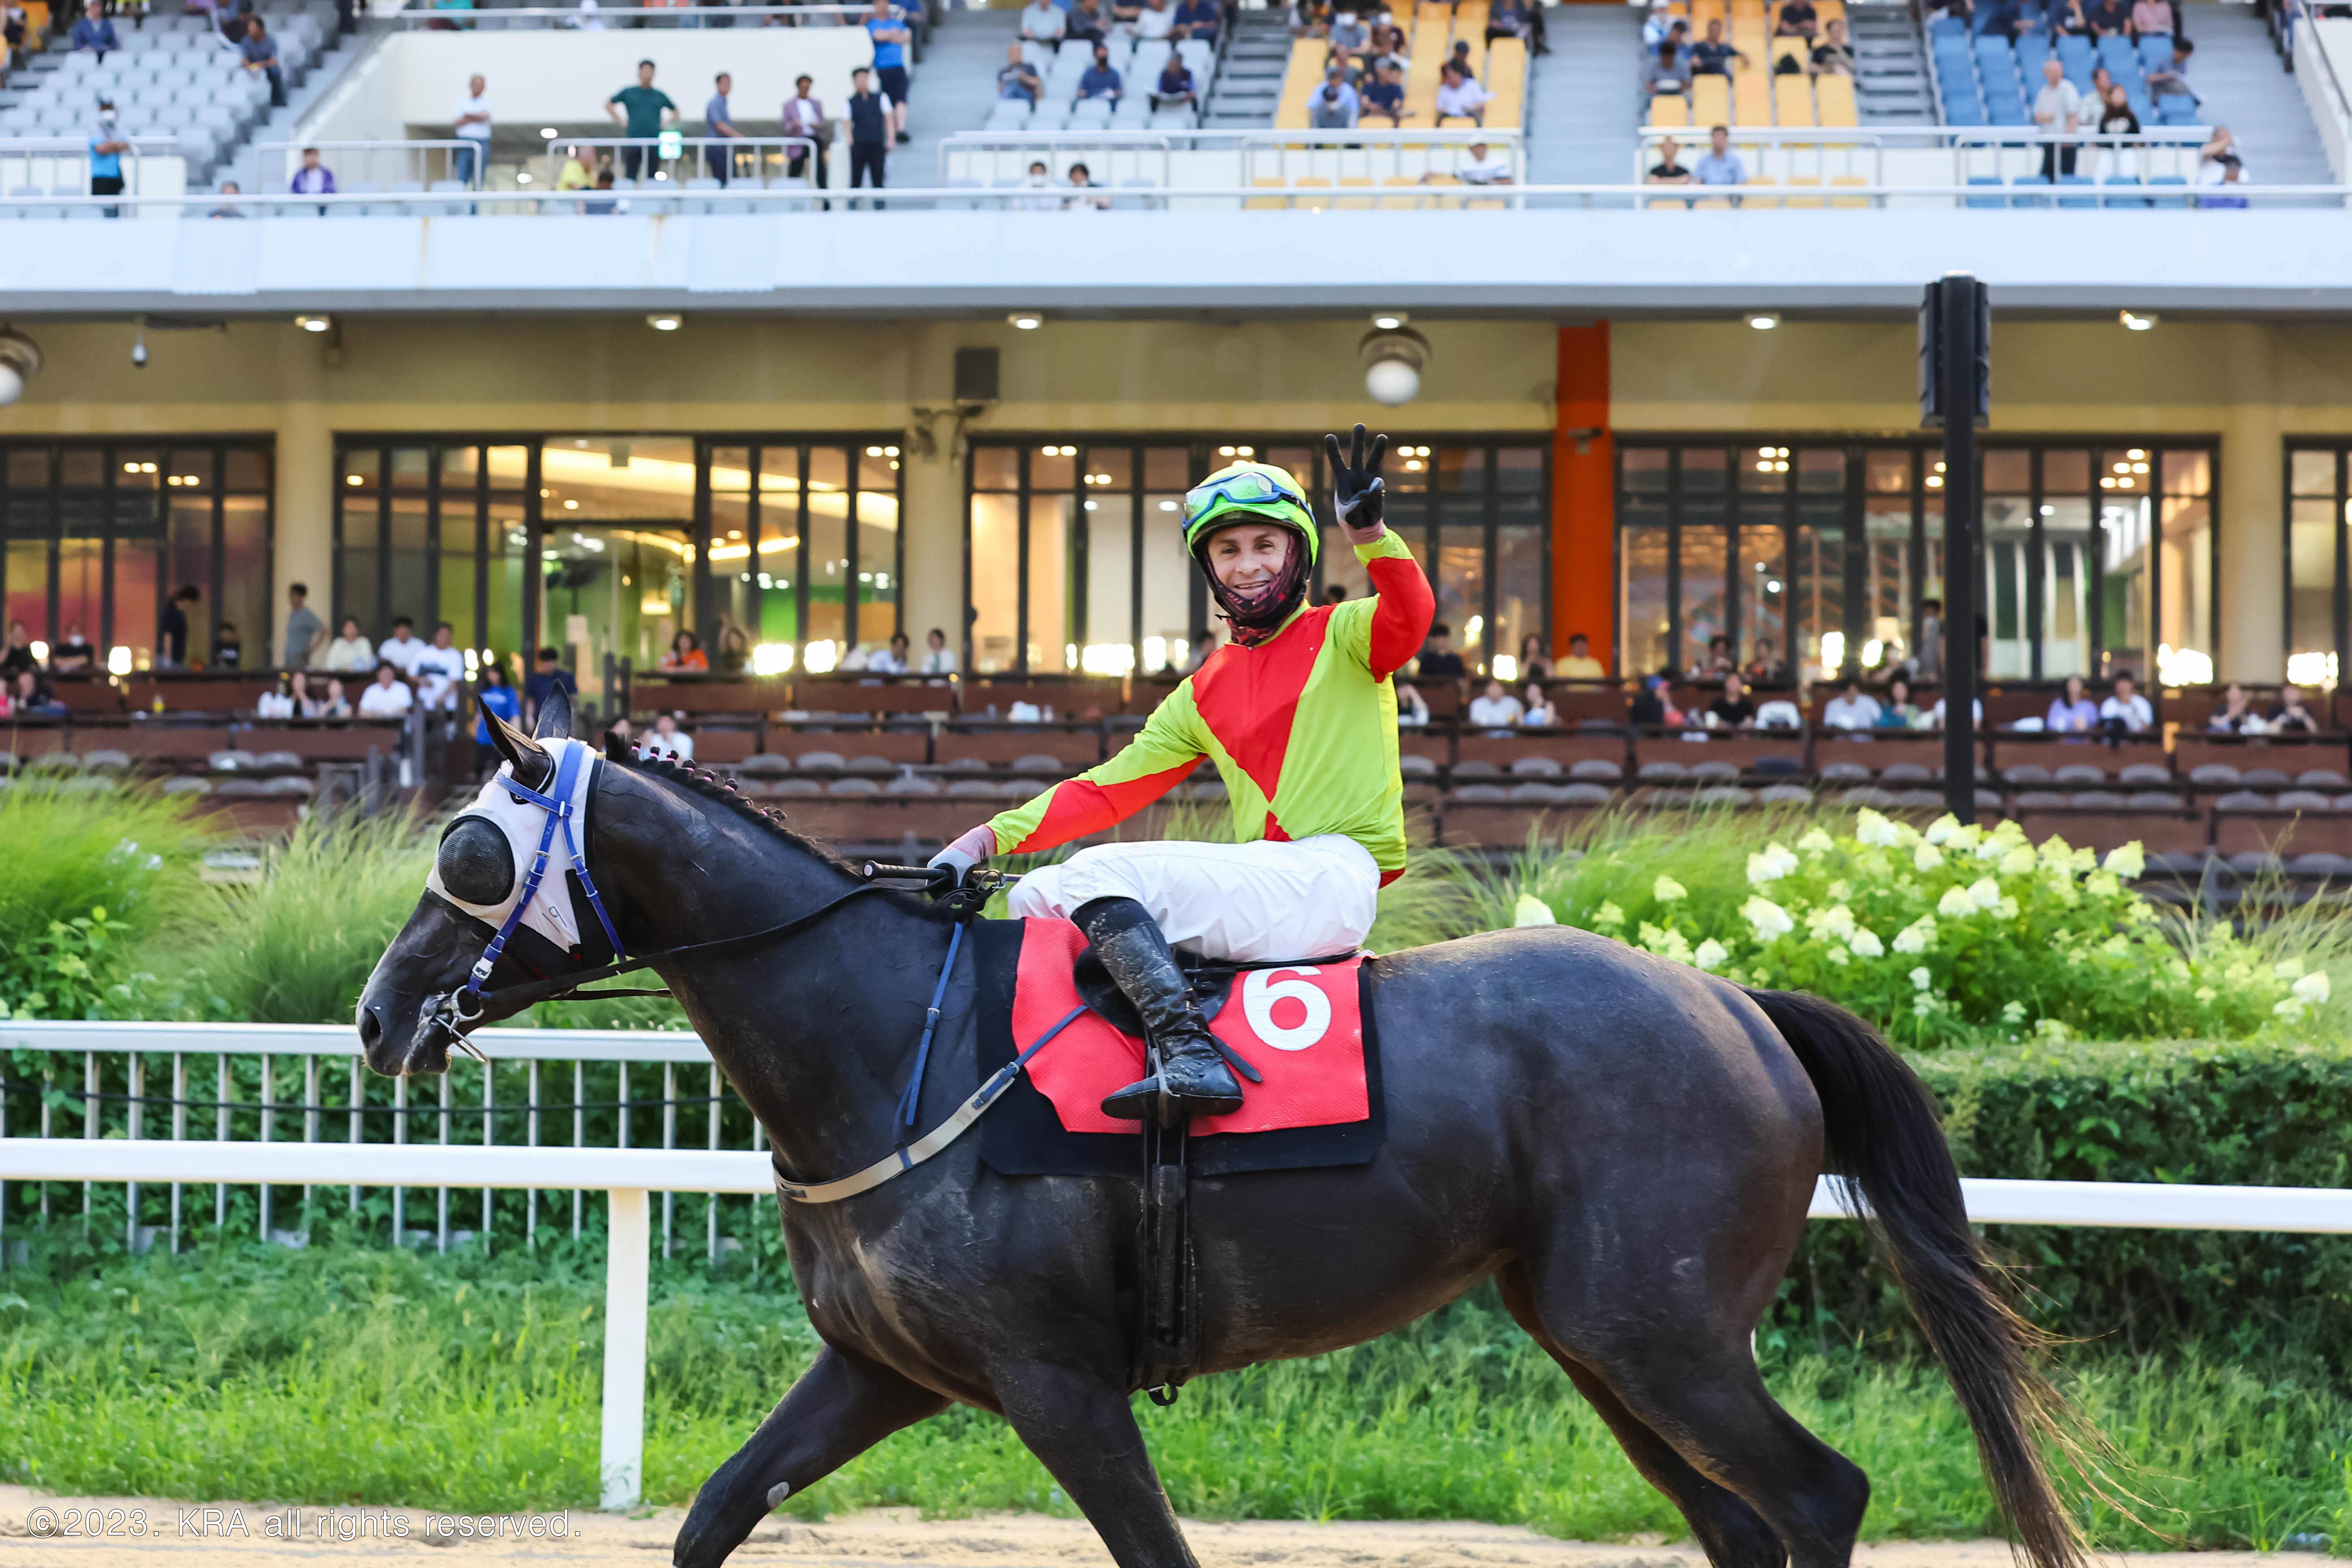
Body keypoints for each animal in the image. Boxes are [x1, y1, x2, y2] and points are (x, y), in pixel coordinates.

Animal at [362, 696, 2098, 1568]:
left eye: (467, 851)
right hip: (1606, 1339)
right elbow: (716, 1511)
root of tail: (1737, 1000)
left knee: (1814, 1501)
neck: (890, 1040)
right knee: (1741, 1523)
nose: (378, 1017)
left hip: (1658, 1332)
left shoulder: (1055, 1381)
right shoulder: (881, 1364)